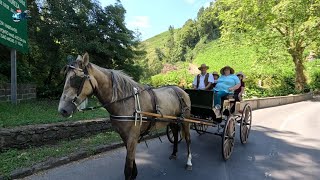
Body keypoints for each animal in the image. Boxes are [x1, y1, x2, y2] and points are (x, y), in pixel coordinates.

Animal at [57, 52, 192, 179]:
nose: (62, 110)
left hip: (185, 120)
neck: (126, 101)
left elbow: (127, 167)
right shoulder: (125, 136)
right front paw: (135, 173)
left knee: (188, 139)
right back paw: (174, 153)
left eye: (75, 79)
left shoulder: (132, 137)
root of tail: (181, 90)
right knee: (175, 134)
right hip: (173, 120)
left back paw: (189, 162)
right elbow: (131, 160)